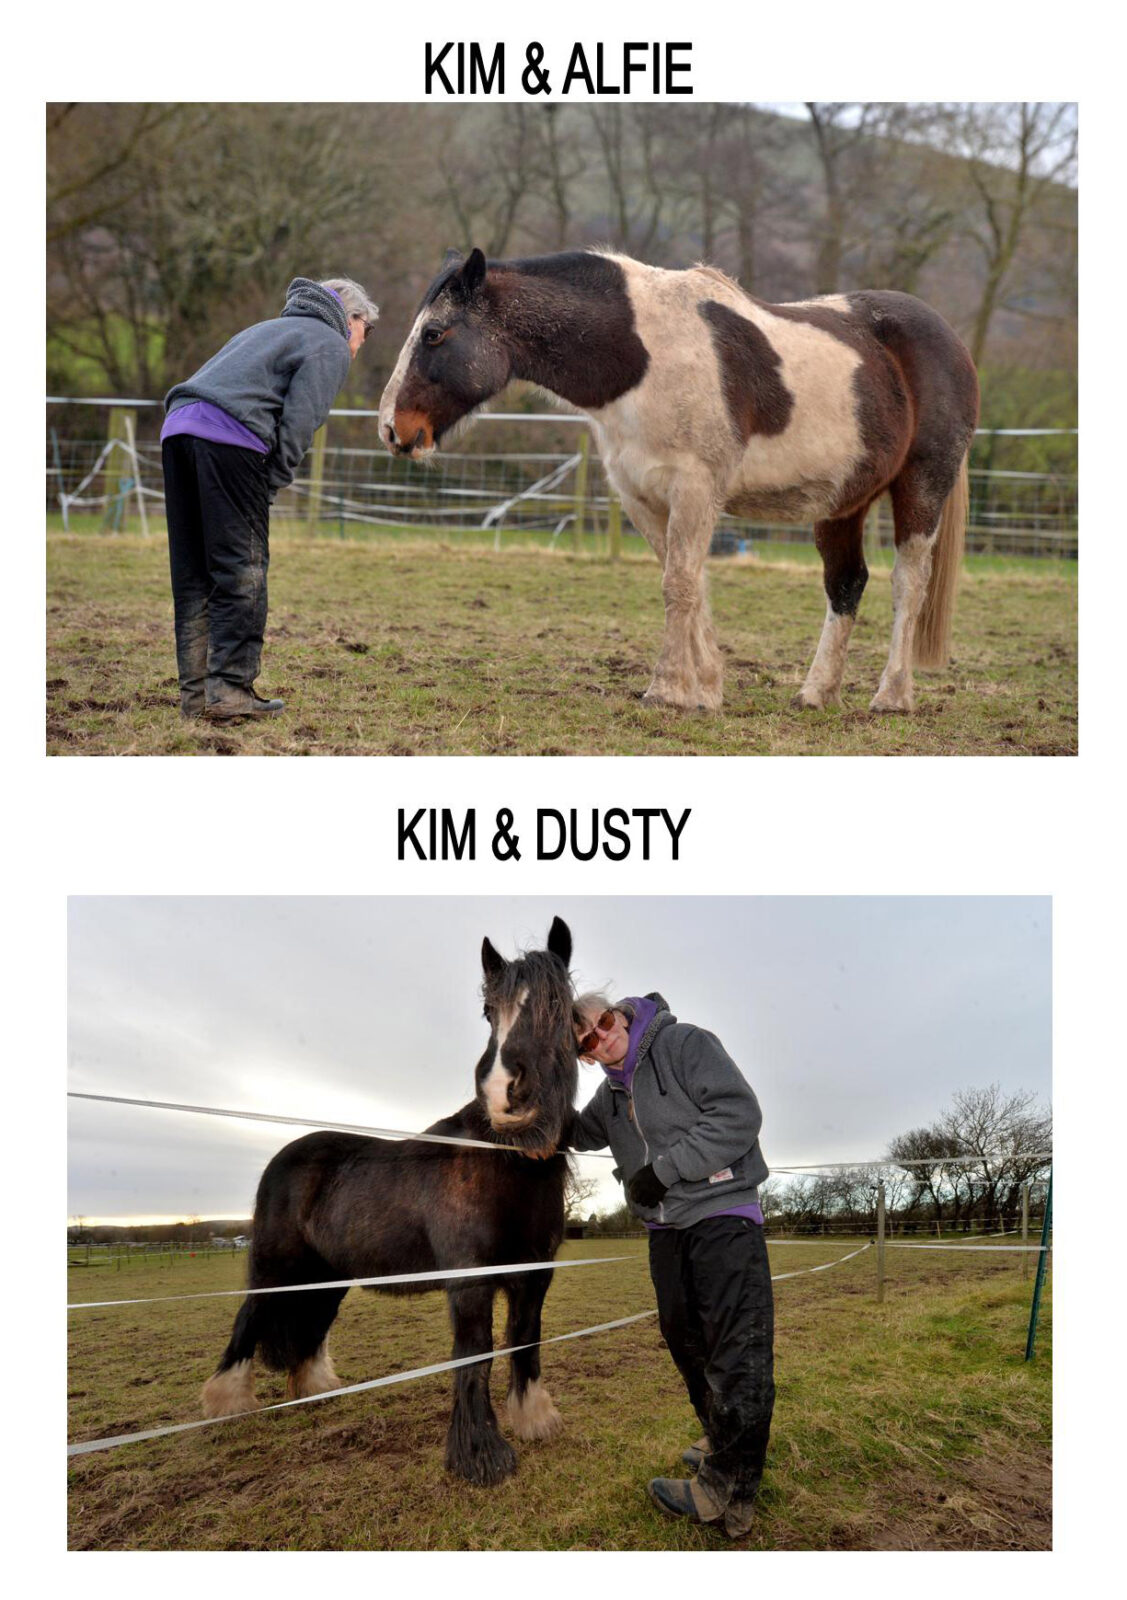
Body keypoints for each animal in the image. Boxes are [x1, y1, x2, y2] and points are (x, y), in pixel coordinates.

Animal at [201, 916, 578, 1486]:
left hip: (327, 1276)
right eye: (489, 1011)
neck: (502, 1157)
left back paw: (316, 1392)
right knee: (250, 1317)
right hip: (275, 1267)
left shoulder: (535, 1275)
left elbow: (526, 1341)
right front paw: (480, 1457)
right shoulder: (470, 1280)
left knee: (311, 1328)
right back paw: (228, 1405)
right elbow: (476, 1355)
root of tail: (284, 1157)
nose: (507, 1095)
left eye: (559, 1002)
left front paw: (535, 1421)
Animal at [378, 248, 980, 714]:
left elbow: (680, 584)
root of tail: (950, 339)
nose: (391, 428)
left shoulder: (694, 489)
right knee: (846, 584)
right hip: (842, 504)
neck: (642, 355)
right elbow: (688, 582)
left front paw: (666, 690)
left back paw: (892, 697)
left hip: (921, 488)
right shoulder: (643, 497)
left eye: (433, 333)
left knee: (908, 584)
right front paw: (706, 691)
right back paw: (815, 694)